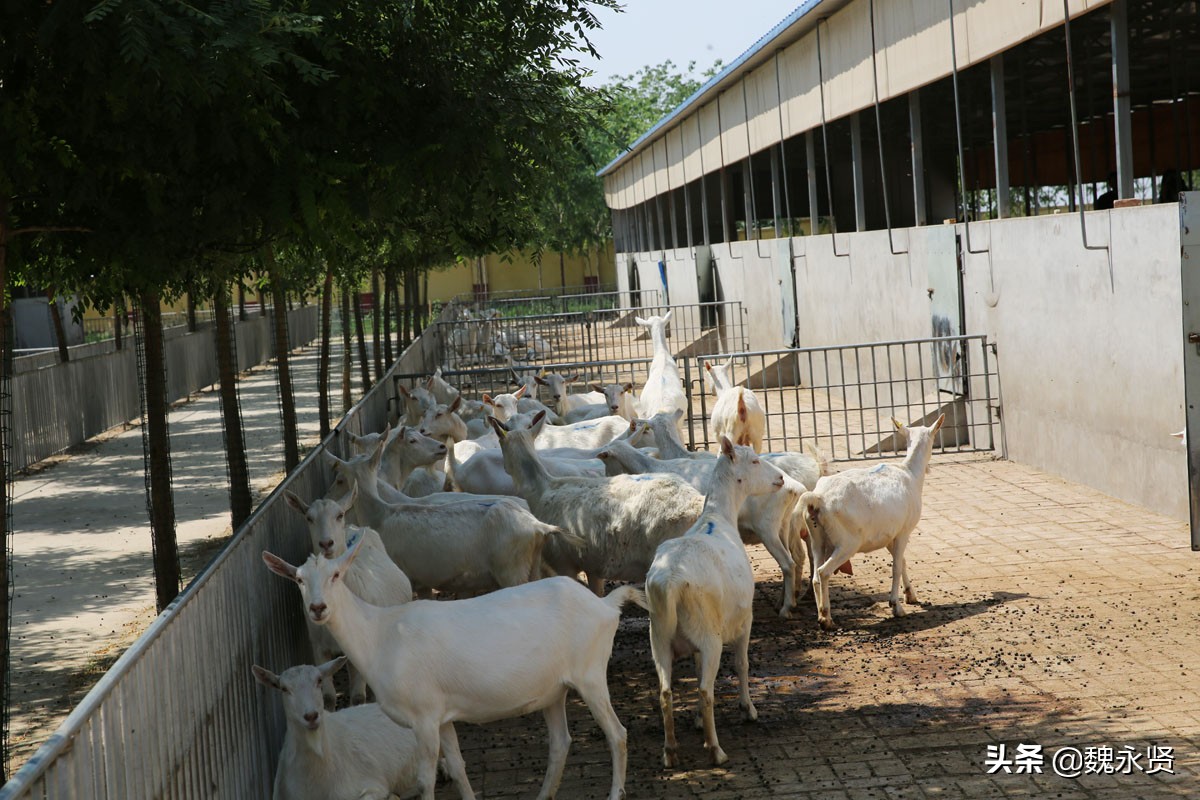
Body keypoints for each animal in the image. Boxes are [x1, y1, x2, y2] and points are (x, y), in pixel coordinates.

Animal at [489, 412, 700, 594]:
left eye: (500, 443)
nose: (504, 467)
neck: (541, 488)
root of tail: (696, 503)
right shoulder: (593, 565)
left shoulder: (563, 563)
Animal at [643, 438, 782, 767]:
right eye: (754, 460)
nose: (780, 478)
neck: (718, 518)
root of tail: (670, 583)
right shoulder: (745, 619)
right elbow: (742, 664)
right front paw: (749, 710)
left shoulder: (692, 644)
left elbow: (694, 673)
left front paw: (694, 720)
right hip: (709, 635)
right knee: (708, 691)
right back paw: (716, 750)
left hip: (660, 636)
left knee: (665, 692)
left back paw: (670, 752)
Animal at [801, 412, 940, 633]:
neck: (910, 473)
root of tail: (817, 499)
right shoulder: (904, 530)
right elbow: (896, 566)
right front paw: (896, 606)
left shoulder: (889, 535)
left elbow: (902, 561)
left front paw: (911, 595)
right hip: (847, 542)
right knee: (824, 572)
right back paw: (827, 619)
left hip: (817, 537)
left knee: (815, 574)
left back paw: (821, 615)